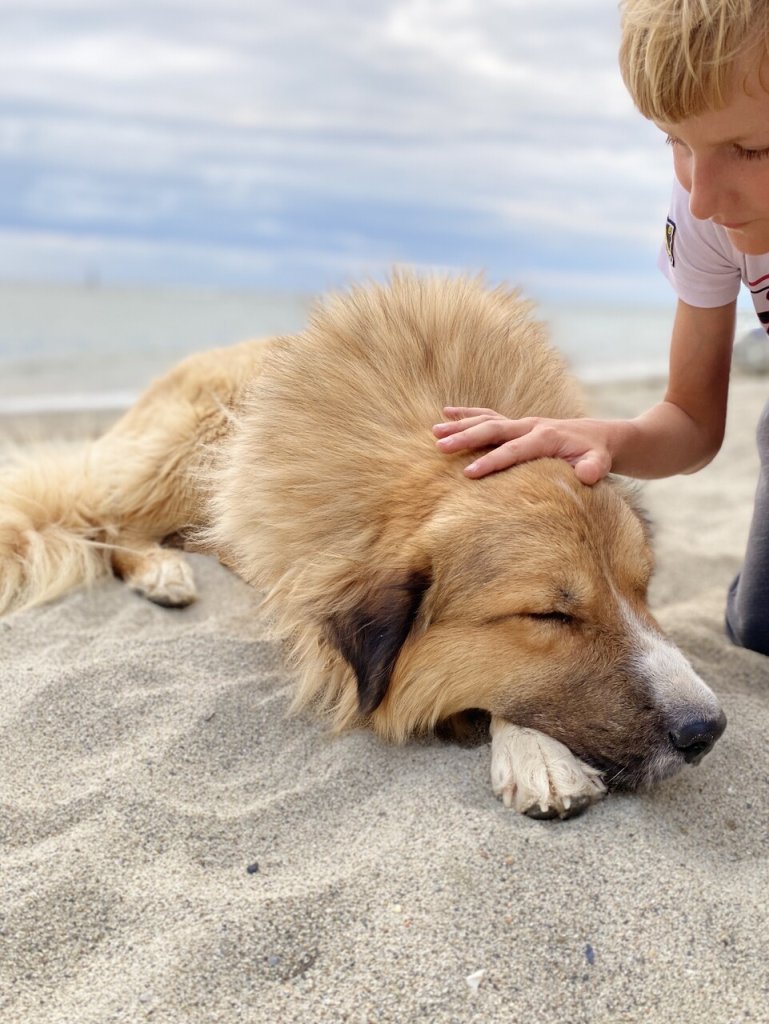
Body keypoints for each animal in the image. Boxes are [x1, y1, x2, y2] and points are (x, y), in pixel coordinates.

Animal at [0, 276, 724, 819]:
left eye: (641, 590)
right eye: (548, 615)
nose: (708, 729)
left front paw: (534, 750)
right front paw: (540, 756)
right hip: (194, 443)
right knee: (107, 521)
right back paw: (161, 570)